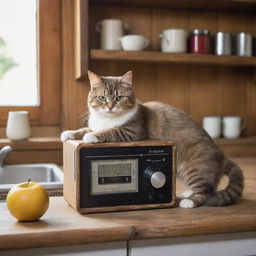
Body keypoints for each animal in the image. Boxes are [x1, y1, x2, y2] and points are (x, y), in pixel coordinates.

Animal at [61, 70, 244, 208]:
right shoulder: (95, 124)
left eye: (119, 98)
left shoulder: (132, 131)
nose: (110, 107)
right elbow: (84, 129)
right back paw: (186, 193)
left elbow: (109, 131)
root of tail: (221, 155)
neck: (107, 119)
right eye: (102, 98)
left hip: (195, 167)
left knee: (205, 192)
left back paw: (189, 202)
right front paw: (68, 133)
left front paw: (92, 136)